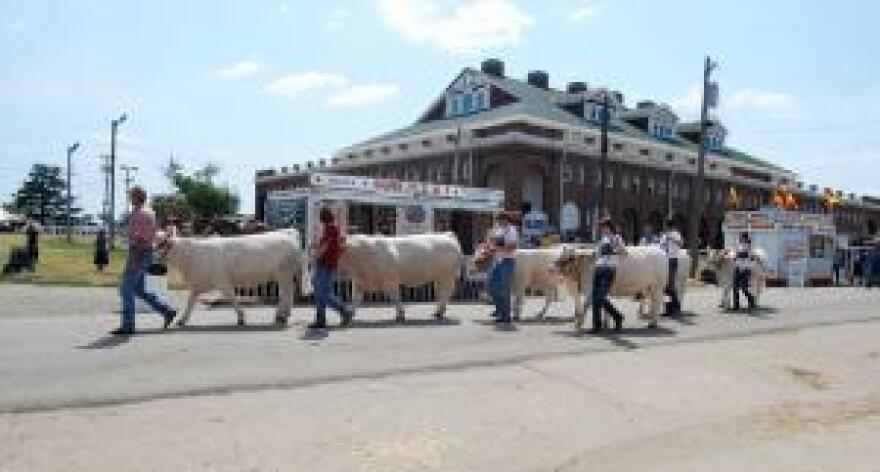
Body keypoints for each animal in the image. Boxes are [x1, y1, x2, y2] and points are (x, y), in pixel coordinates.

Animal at [158, 230, 306, 326]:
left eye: (161, 244)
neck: (192, 255)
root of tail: (287, 233)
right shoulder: (198, 285)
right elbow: (190, 302)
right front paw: (182, 320)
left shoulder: (223, 282)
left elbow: (232, 298)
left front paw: (241, 318)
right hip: (282, 275)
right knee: (286, 294)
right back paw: (282, 315)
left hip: (284, 273)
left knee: (286, 294)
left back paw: (282, 316)